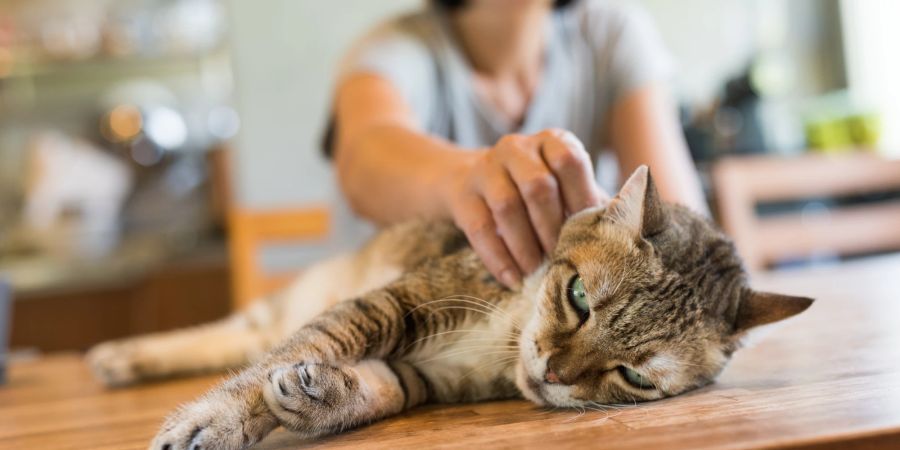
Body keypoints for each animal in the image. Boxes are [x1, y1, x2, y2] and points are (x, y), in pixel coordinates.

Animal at [86, 167, 816, 448]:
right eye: (579, 297)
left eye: (634, 376)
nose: (552, 372)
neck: (505, 341)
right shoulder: (396, 302)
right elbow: (290, 356)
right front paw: (218, 421)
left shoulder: (424, 378)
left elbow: (371, 390)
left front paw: (320, 399)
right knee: (241, 335)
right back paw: (120, 353)